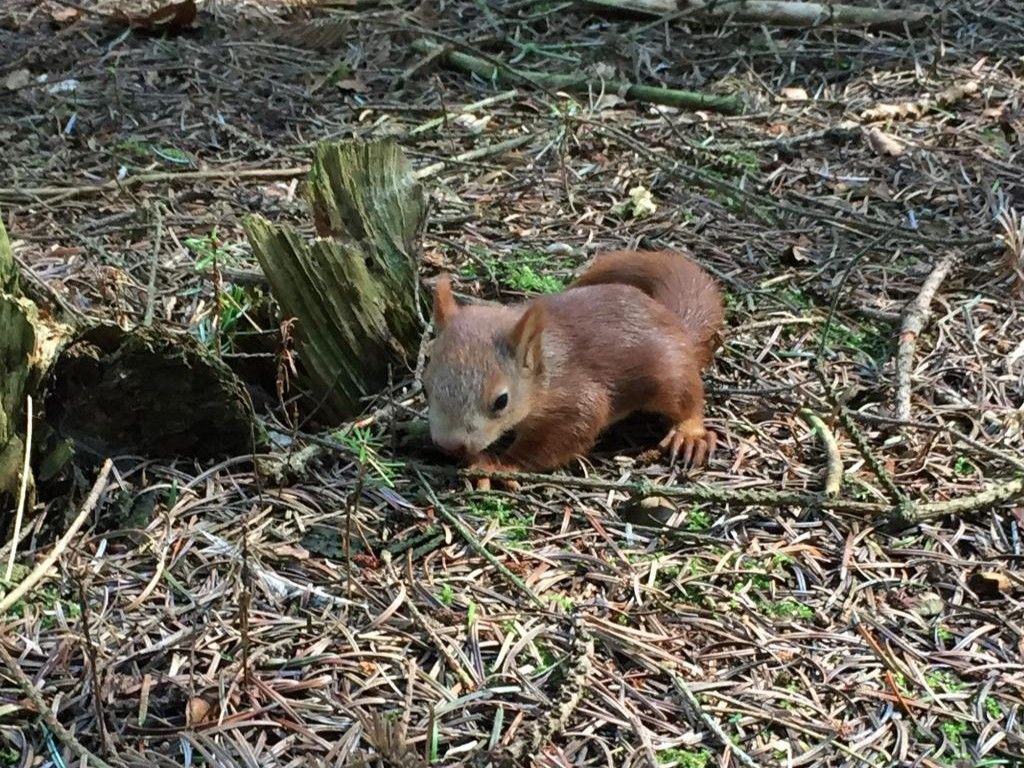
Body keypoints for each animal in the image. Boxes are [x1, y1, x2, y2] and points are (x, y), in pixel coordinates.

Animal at [419, 249, 724, 487]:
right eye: (426, 386)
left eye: (501, 401)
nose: (449, 445)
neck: (546, 369)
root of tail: (676, 324)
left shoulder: (575, 398)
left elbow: (562, 436)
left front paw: (497, 465)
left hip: (668, 374)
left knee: (688, 398)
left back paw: (690, 433)